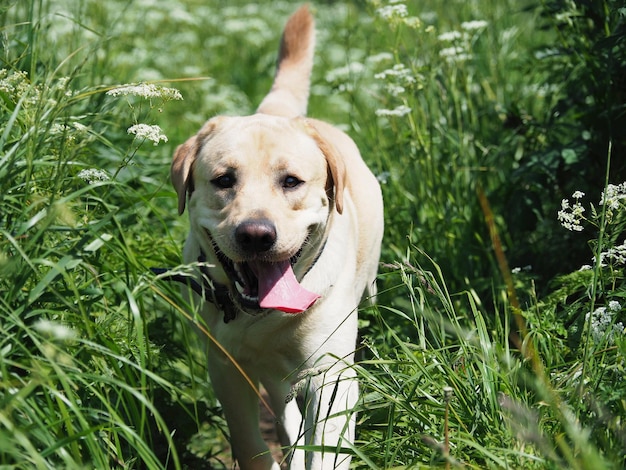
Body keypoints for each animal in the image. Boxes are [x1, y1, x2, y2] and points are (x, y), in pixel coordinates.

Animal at [169, 4, 380, 470]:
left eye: (291, 181)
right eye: (224, 179)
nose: (256, 234)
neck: (264, 317)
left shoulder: (332, 377)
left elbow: (327, 451)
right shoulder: (227, 370)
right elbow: (252, 444)